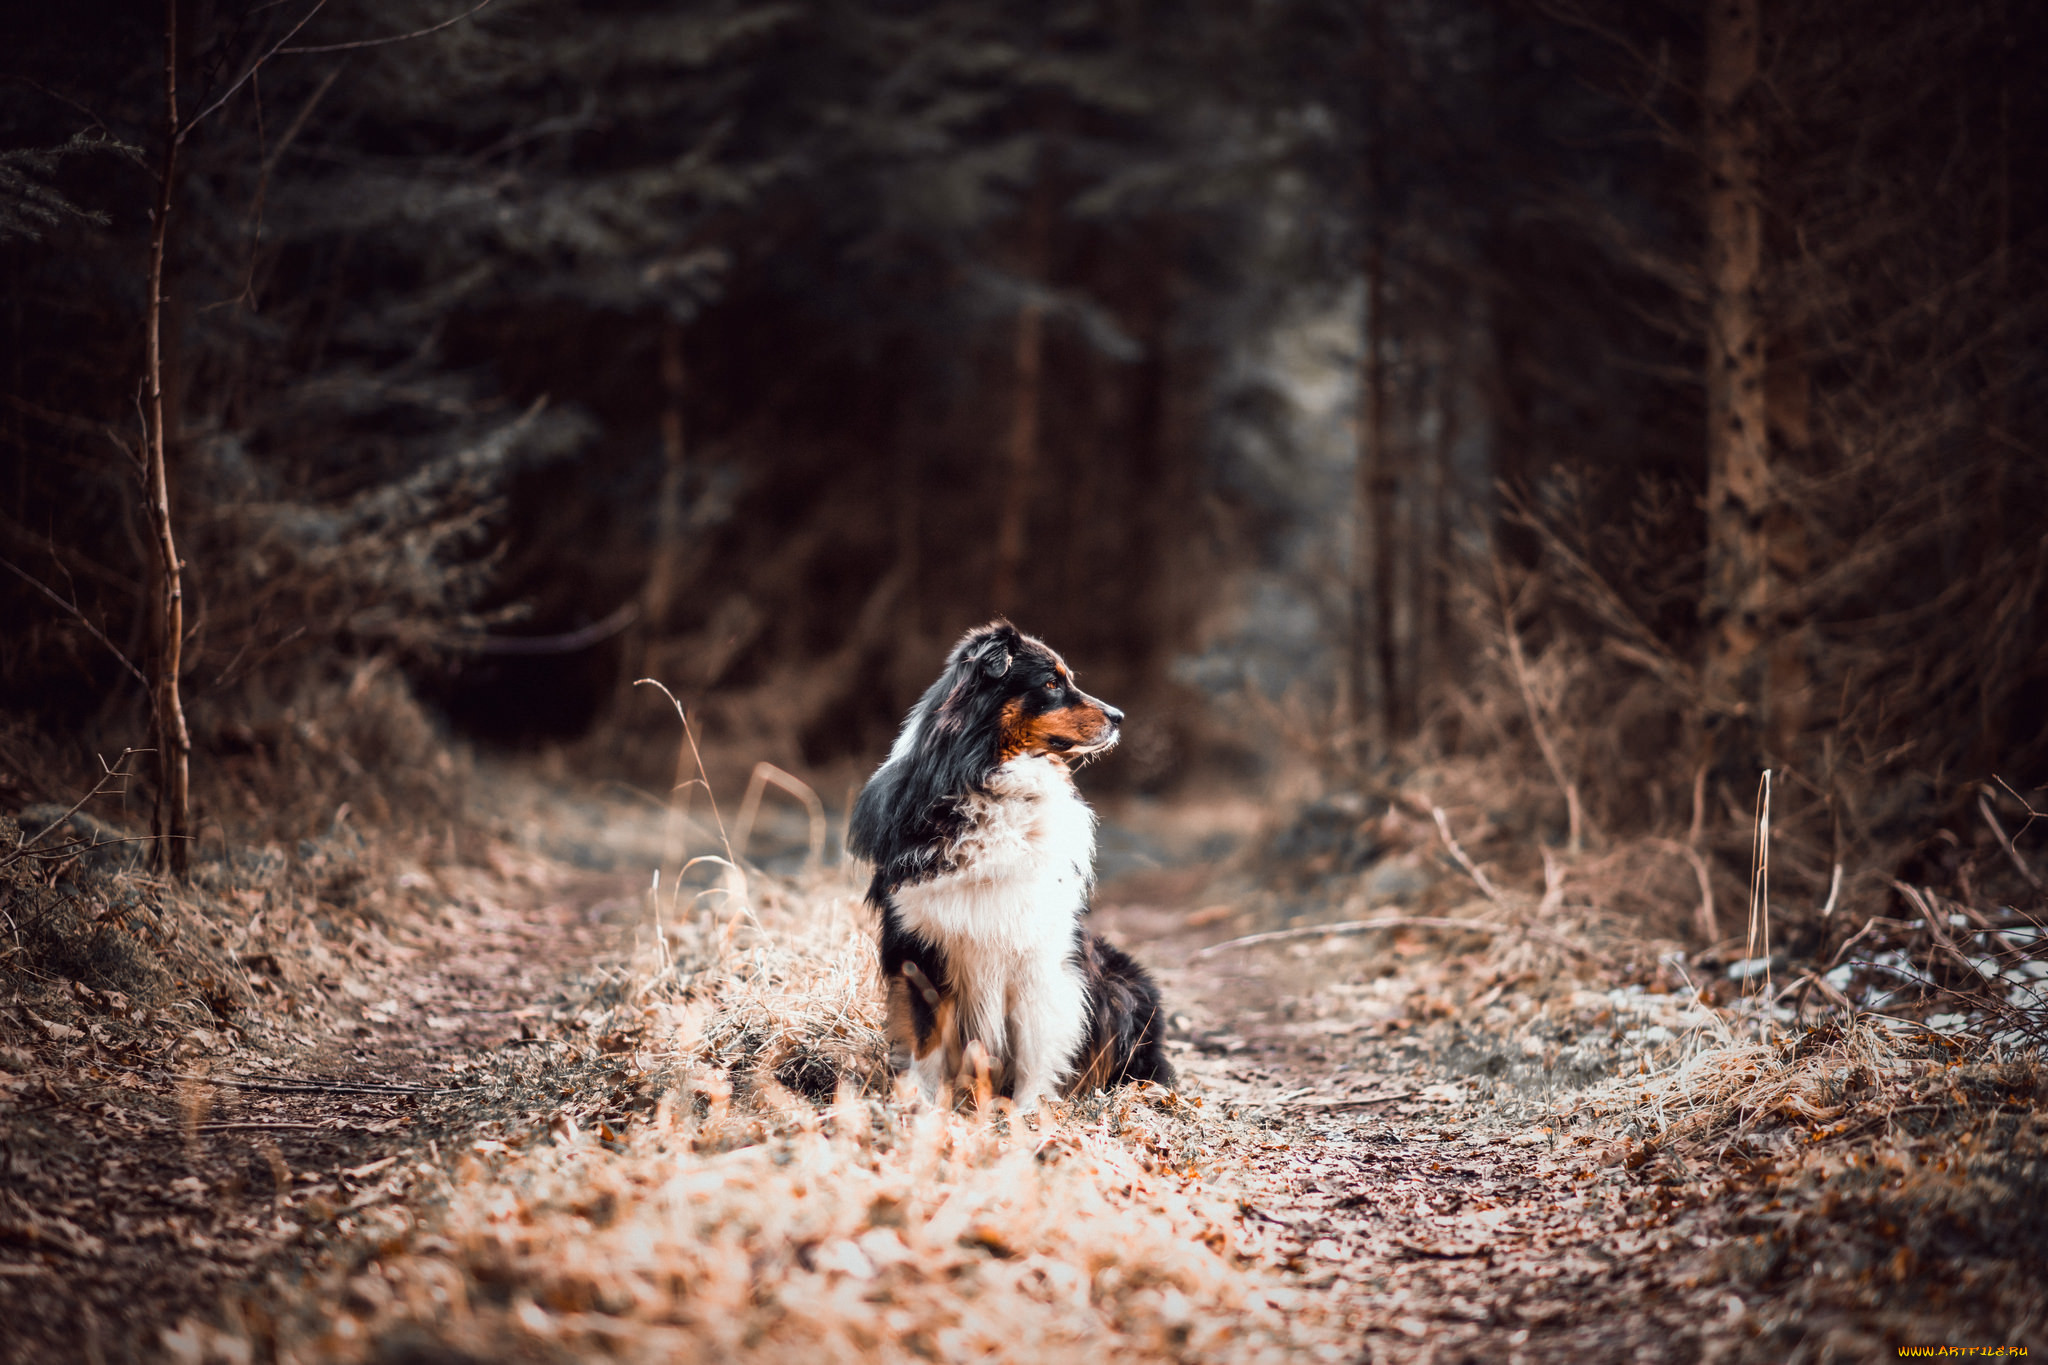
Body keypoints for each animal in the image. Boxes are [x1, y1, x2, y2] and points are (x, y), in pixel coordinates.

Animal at [843, 618, 1171, 1113]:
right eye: (1052, 683)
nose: (1119, 717)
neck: (987, 779)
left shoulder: (1040, 952)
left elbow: (1036, 1039)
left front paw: (1029, 1112)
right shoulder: (920, 948)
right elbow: (926, 1039)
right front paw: (922, 1107)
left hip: (1125, 985)